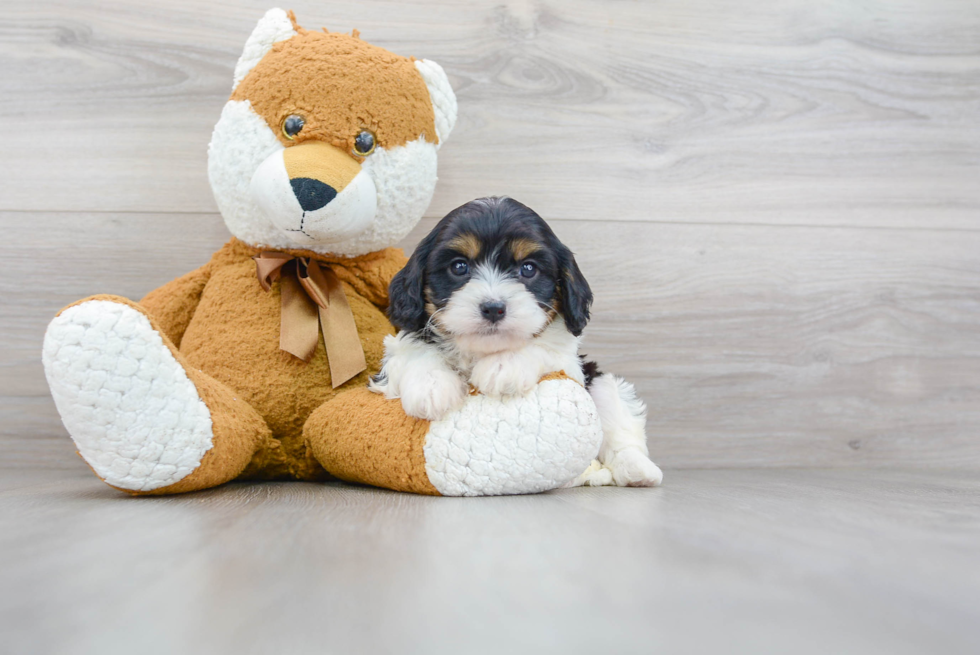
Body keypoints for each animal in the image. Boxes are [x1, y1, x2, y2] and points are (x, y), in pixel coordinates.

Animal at [372, 197, 664, 490]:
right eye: (459, 267)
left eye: (528, 268)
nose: (493, 308)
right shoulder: (397, 349)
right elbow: (414, 351)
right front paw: (431, 386)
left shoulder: (570, 362)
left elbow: (544, 345)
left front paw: (503, 366)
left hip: (600, 382)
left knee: (619, 420)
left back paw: (638, 469)